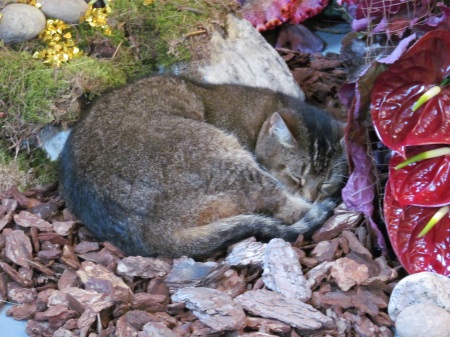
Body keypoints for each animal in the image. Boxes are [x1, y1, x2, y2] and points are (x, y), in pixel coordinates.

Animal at [59, 74, 348, 258]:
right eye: (296, 177)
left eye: (325, 182)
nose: (311, 195)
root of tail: (147, 232)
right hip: (228, 158)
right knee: (288, 210)